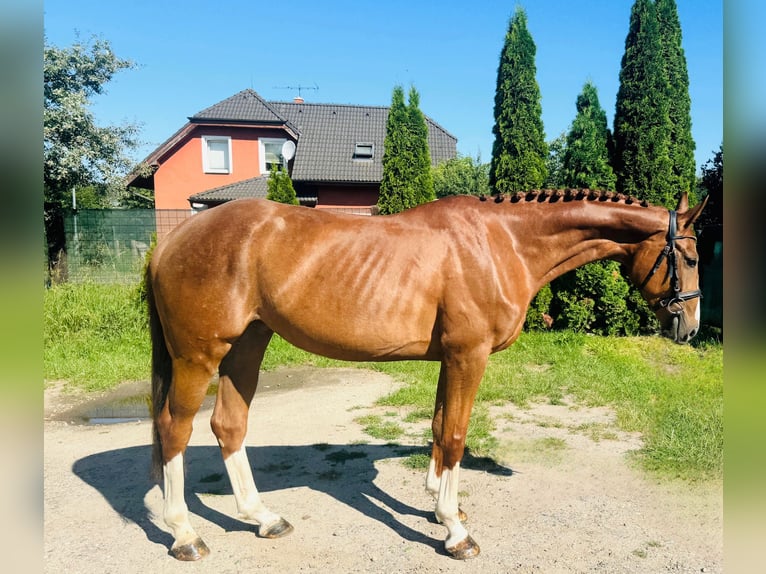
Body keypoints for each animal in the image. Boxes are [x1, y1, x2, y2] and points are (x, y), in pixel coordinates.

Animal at [146, 191, 708, 560]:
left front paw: (439, 505)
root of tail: (172, 241)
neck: (503, 242)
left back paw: (264, 519)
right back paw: (185, 535)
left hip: (247, 346)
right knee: (175, 429)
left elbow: (439, 428)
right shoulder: (468, 355)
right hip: (199, 356)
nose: (690, 327)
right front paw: (456, 532)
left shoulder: (449, 359)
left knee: (228, 426)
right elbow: (456, 434)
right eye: (691, 256)